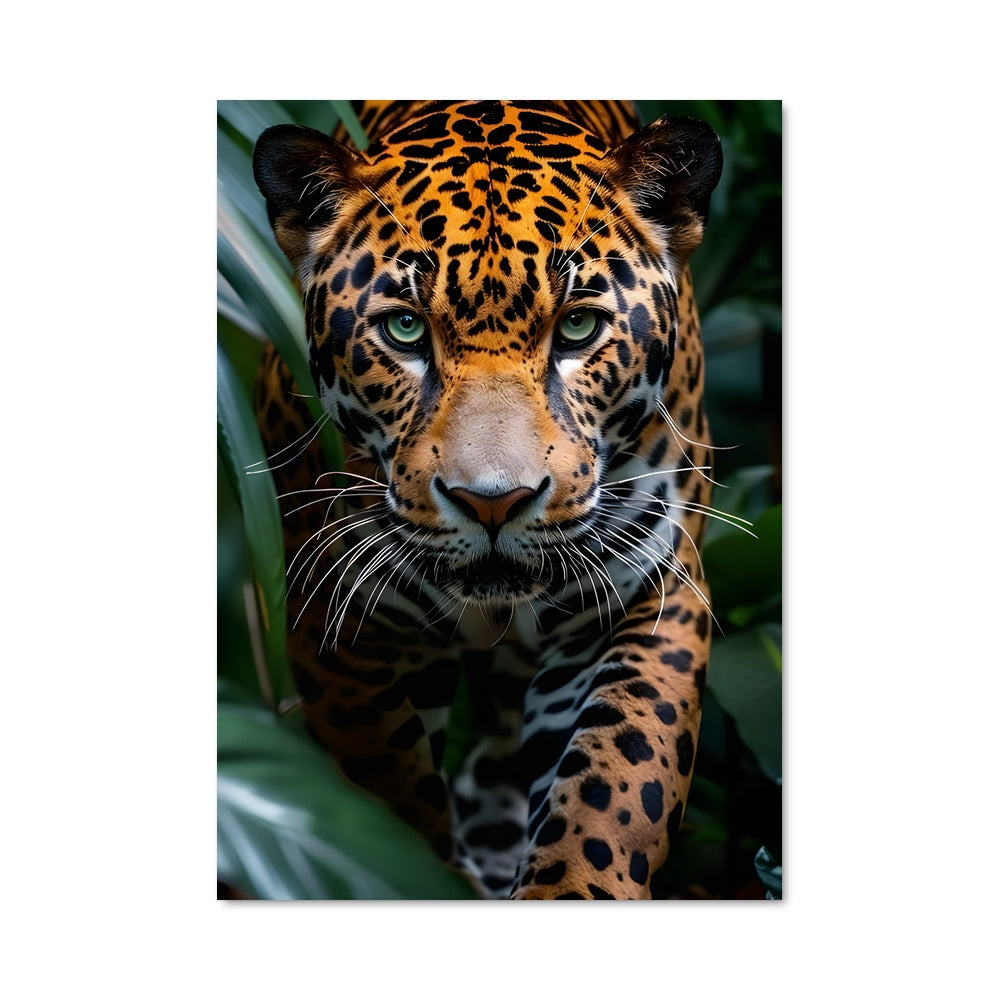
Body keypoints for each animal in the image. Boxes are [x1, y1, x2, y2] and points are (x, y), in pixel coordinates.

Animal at [251, 100, 722, 899]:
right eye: (405, 327)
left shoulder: (650, 594)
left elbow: (615, 787)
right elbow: (390, 796)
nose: (494, 503)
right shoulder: (339, 626)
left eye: (578, 326)